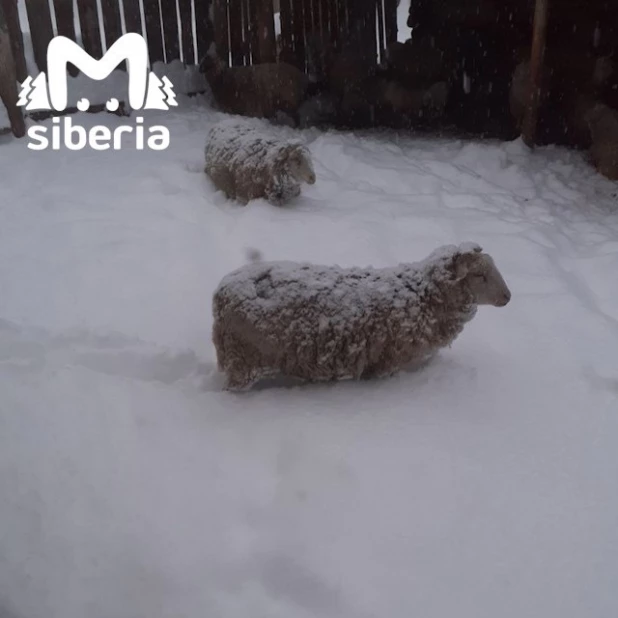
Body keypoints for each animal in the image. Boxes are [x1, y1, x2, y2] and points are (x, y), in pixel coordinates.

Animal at [212, 242, 510, 390]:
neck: (423, 296)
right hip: (243, 360)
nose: (508, 297)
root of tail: (221, 294)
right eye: (480, 275)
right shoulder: (387, 362)